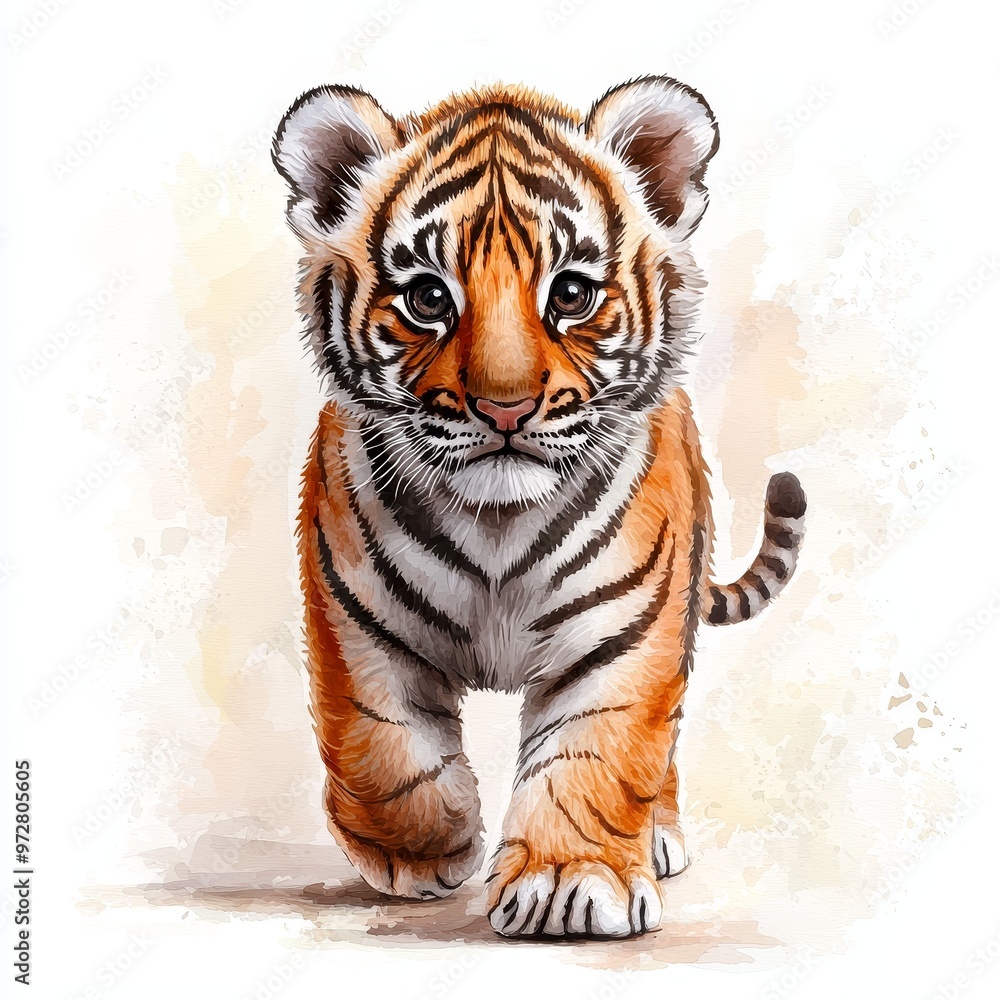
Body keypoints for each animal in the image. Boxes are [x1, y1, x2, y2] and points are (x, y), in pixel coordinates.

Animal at [272, 75, 806, 939]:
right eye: (428, 297)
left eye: (572, 294)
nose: (505, 408)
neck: (496, 524)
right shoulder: (357, 622)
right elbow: (381, 746)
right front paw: (426, 850)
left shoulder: (625, 630)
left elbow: (597, 750)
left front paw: (566, 883)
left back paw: (657, 837)